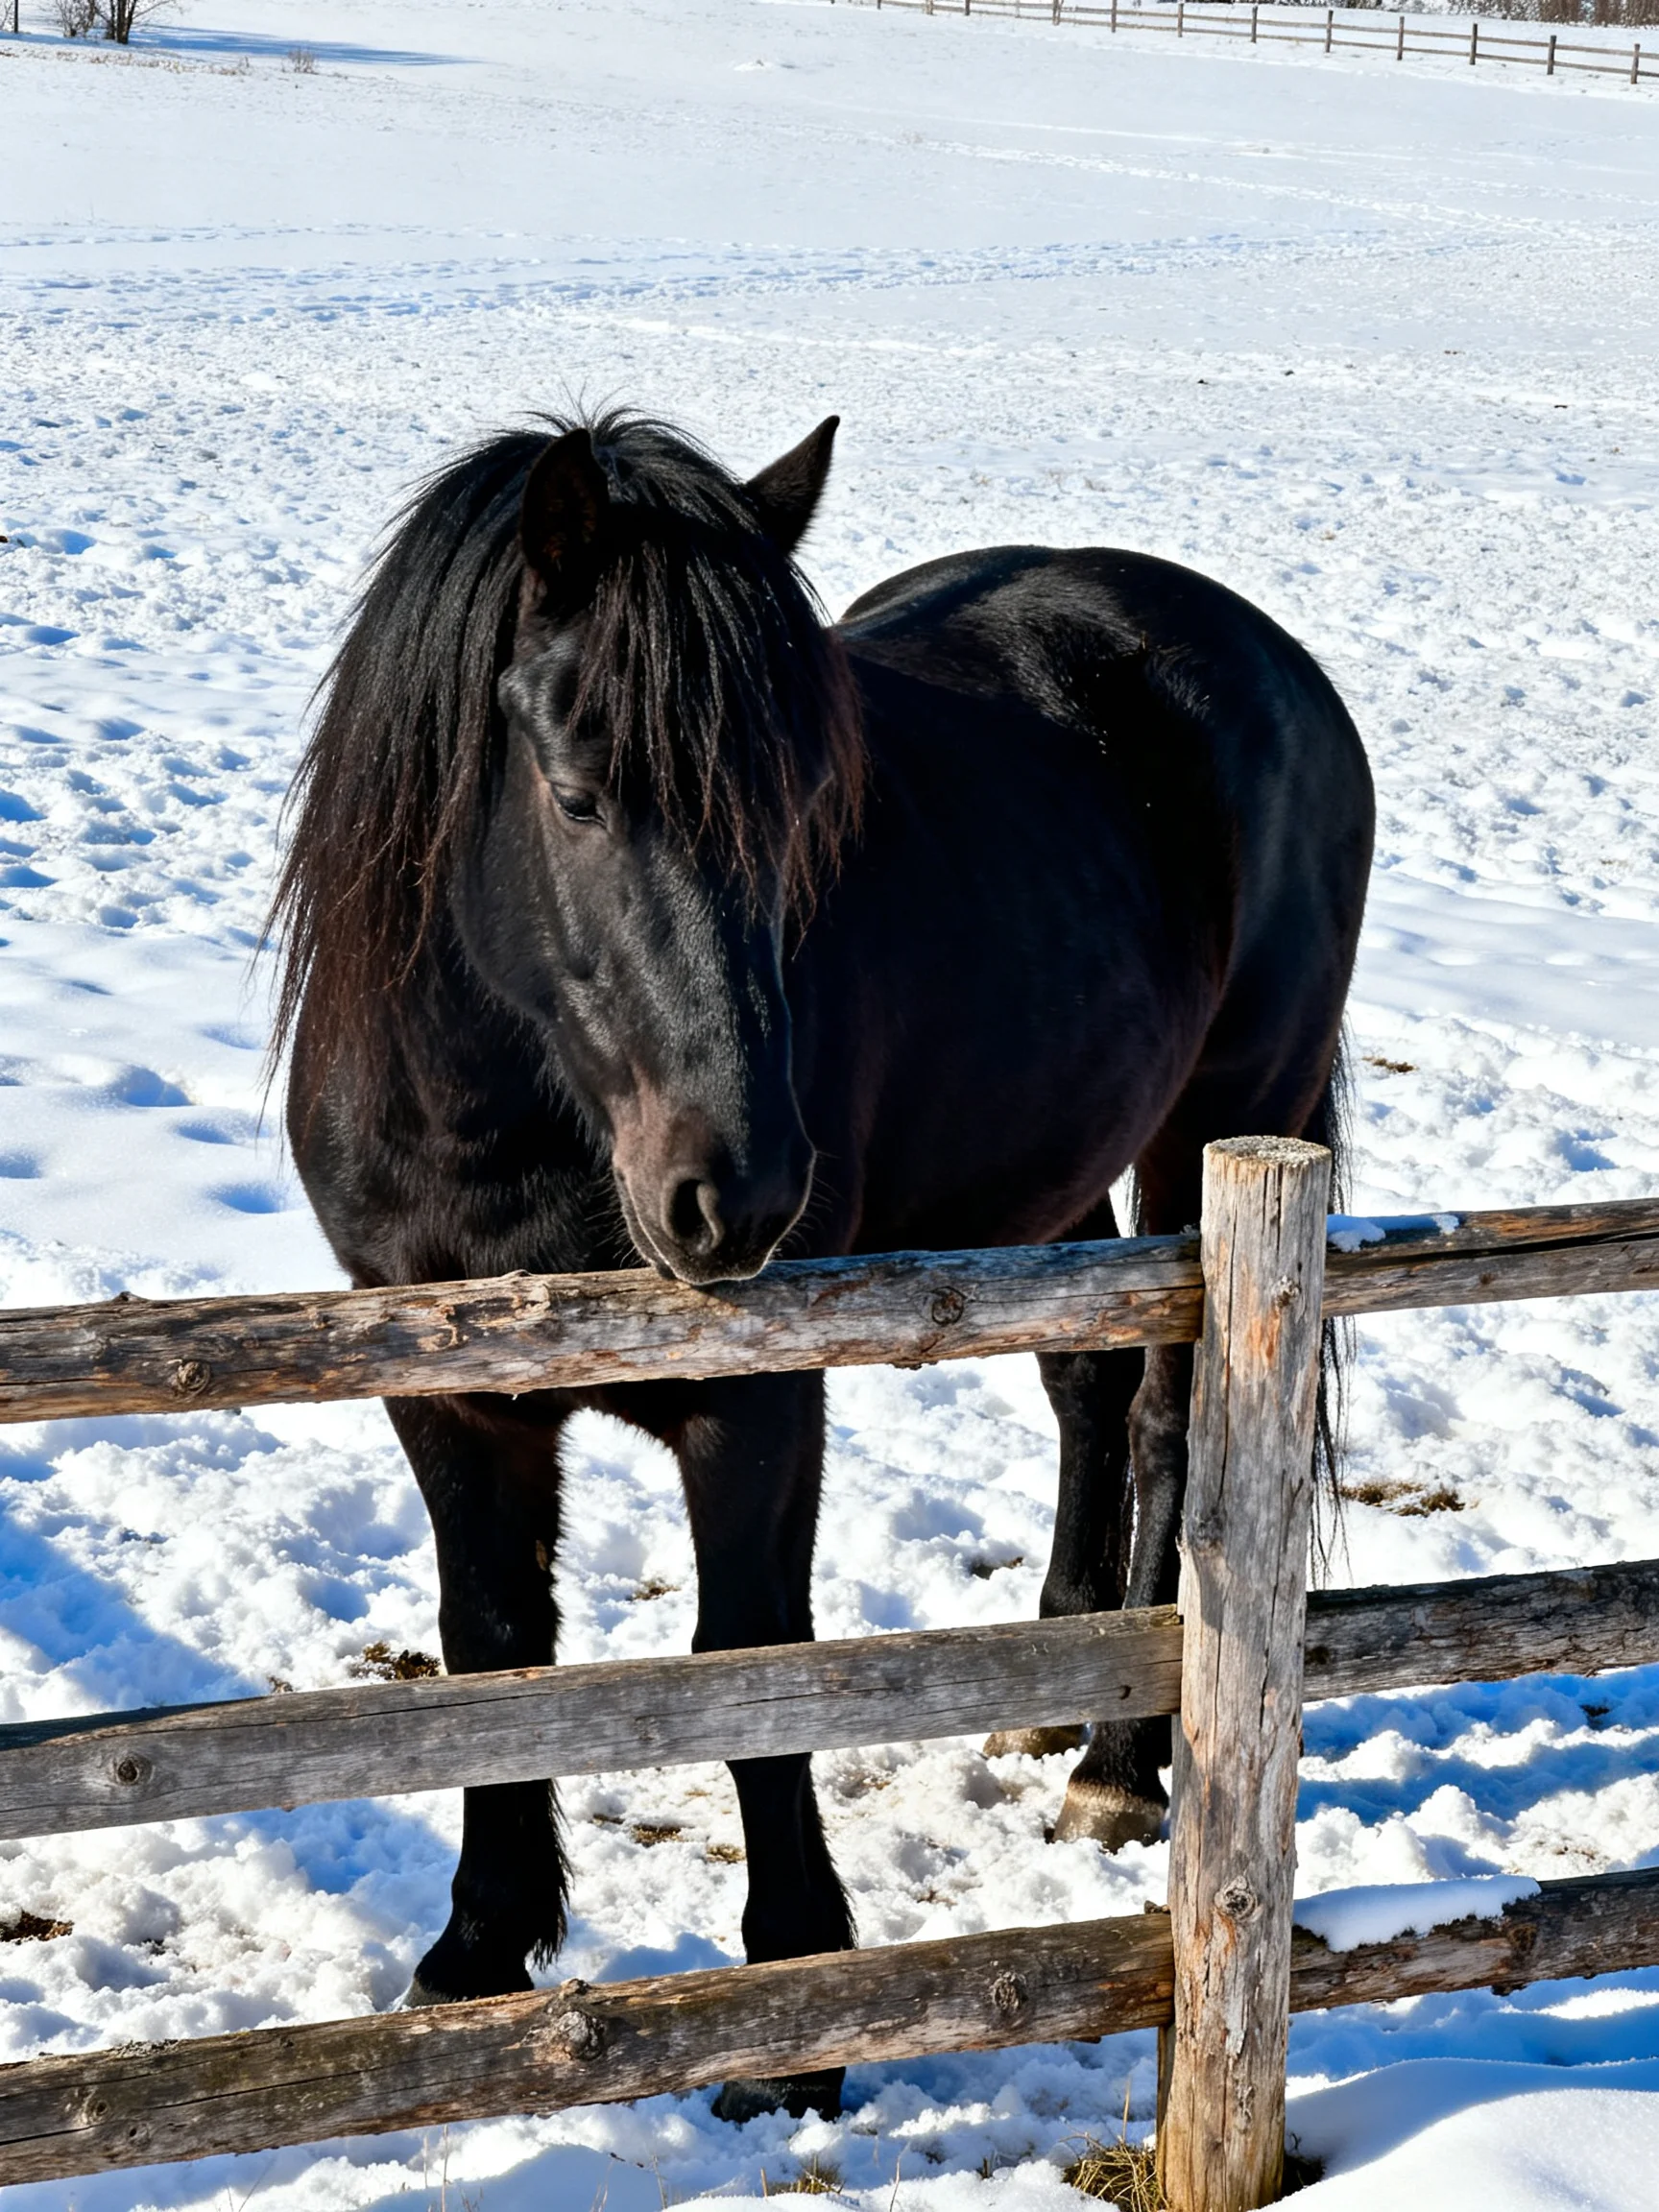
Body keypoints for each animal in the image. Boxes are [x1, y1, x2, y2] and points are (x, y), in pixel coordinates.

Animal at [272, 409, 1373, 2124]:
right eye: (575, 794)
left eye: (806, 812)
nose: (739, 1195)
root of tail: (1270, 661)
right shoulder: (446, 1397)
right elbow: (493, 1645)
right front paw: (476, 1950)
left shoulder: (761, 1398)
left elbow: (751, 1660)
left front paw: (793, 1995)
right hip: (1052, 1168)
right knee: (1087, 1383)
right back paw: (1052, 1680)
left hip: (1221, 1134)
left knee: (1167, 1424)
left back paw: (1119, 1766)